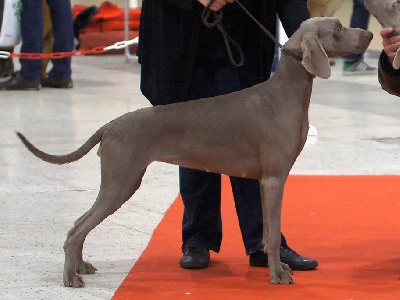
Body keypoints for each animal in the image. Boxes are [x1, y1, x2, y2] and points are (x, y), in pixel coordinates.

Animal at [15, 17, 372, 288]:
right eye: (338, 27)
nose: (369, 34)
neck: (285, 93)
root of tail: (110, 125)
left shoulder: (264, 181)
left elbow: (267, 232)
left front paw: (279, 267)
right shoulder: (274, 179)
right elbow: (271, 236)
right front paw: (278, 276)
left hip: (123, 182)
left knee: (78, 223)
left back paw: (81, 266)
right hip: (121, 181)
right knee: (76, 229)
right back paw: (70, 278)